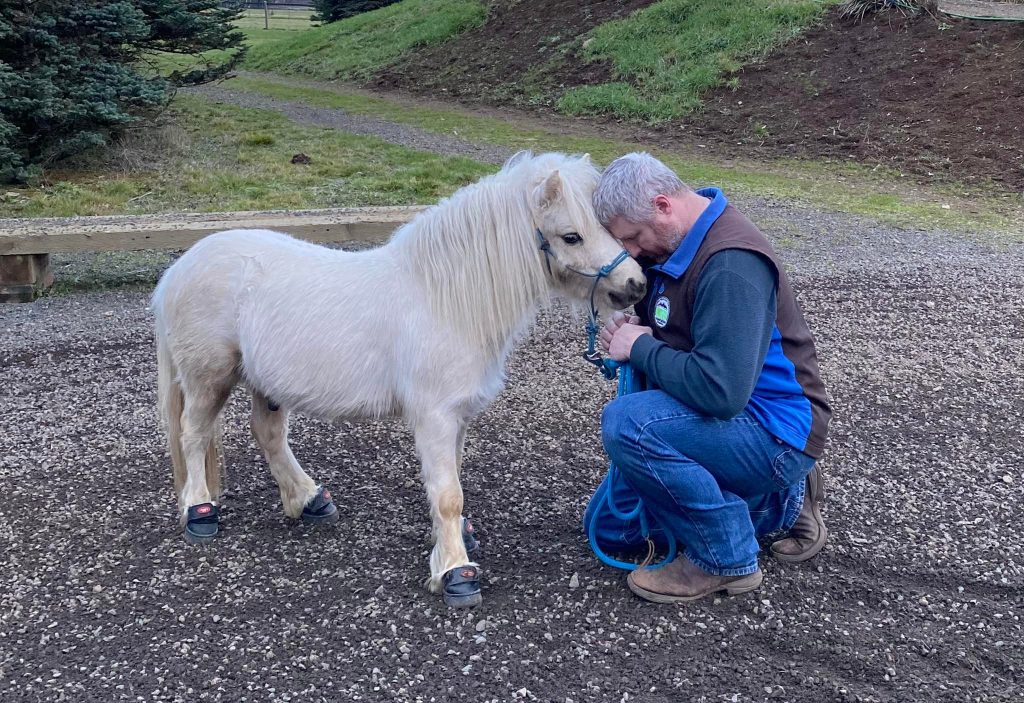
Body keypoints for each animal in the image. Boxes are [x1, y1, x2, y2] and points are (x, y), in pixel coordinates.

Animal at [149, 151, 647, 605]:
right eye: (571, 235)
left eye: (611, 228)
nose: (636, 285)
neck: (442, 298)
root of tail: (179, 269)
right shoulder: (435, 416)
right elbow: (448, 494)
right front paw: (456, 573)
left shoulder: (456, 417)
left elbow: (450, 481)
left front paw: (450, 545)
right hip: (209, 377)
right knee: (194, 434)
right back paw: (199, 512)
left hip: (262, 381)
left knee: (268, 434)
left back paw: (308, 499)